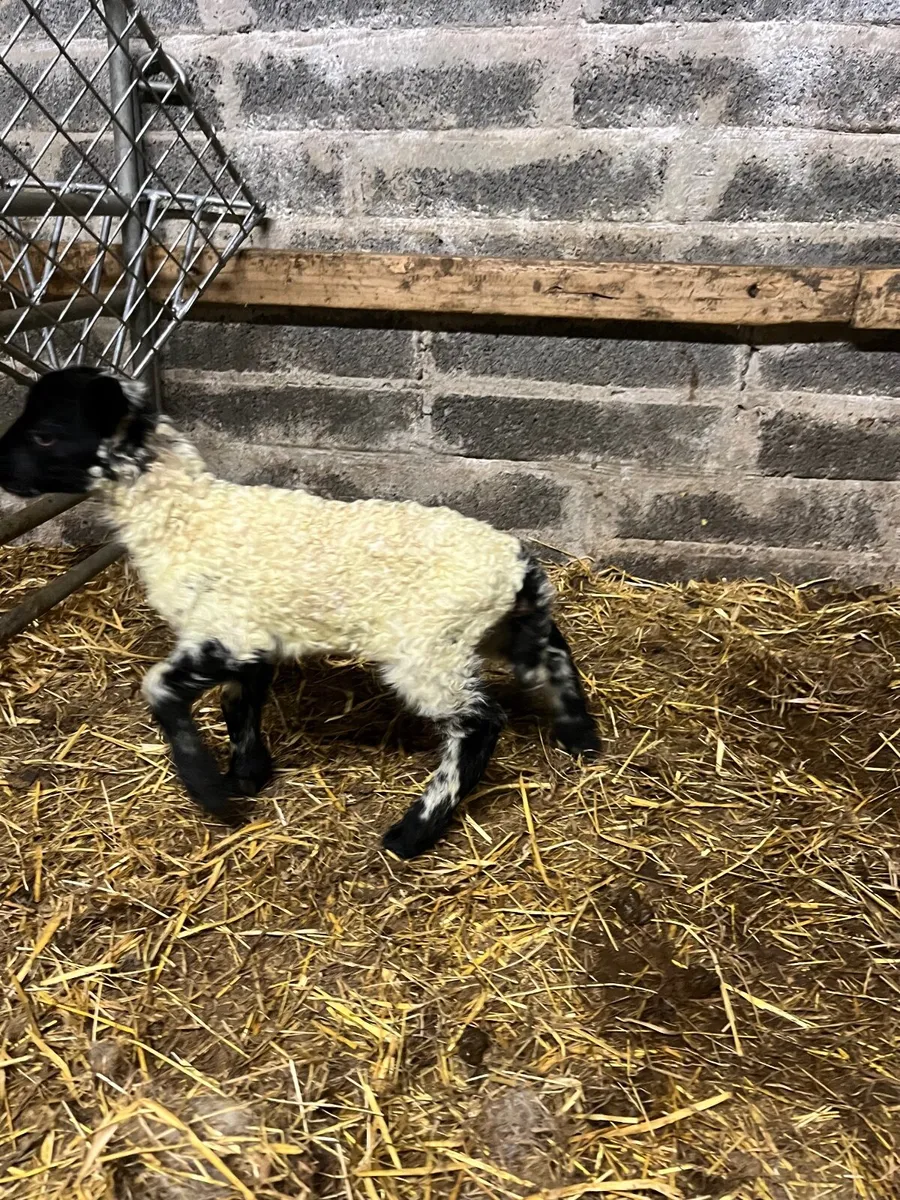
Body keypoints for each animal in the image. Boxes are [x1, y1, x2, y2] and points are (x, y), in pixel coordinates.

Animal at [0, 366, 600, 858]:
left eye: (45, 432)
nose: (0, 468)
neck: (183, 516)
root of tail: (516, 563)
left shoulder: (227, 629)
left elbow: (161, 688)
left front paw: (211, 792)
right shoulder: (254, 639)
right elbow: (239, 705)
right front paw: (247, 777)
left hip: (427, 647)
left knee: (479, 722)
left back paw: (410, 835)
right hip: (491, 627)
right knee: (552, 653)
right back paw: (582, 741)